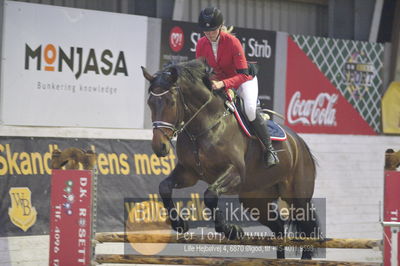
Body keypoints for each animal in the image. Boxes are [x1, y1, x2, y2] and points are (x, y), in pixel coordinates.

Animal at [141, 59, 318, 258]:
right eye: (150, 103)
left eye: (171, 103)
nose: (159, 147)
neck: (204, 126)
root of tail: (300, 143)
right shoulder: (189, 173)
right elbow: (164, 187)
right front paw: (179, 224)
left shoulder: (235, 172)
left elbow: (210, 195)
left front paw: (230, 230)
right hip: (255, 198)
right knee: (278, 226)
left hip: (297, 197)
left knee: (308, 228)